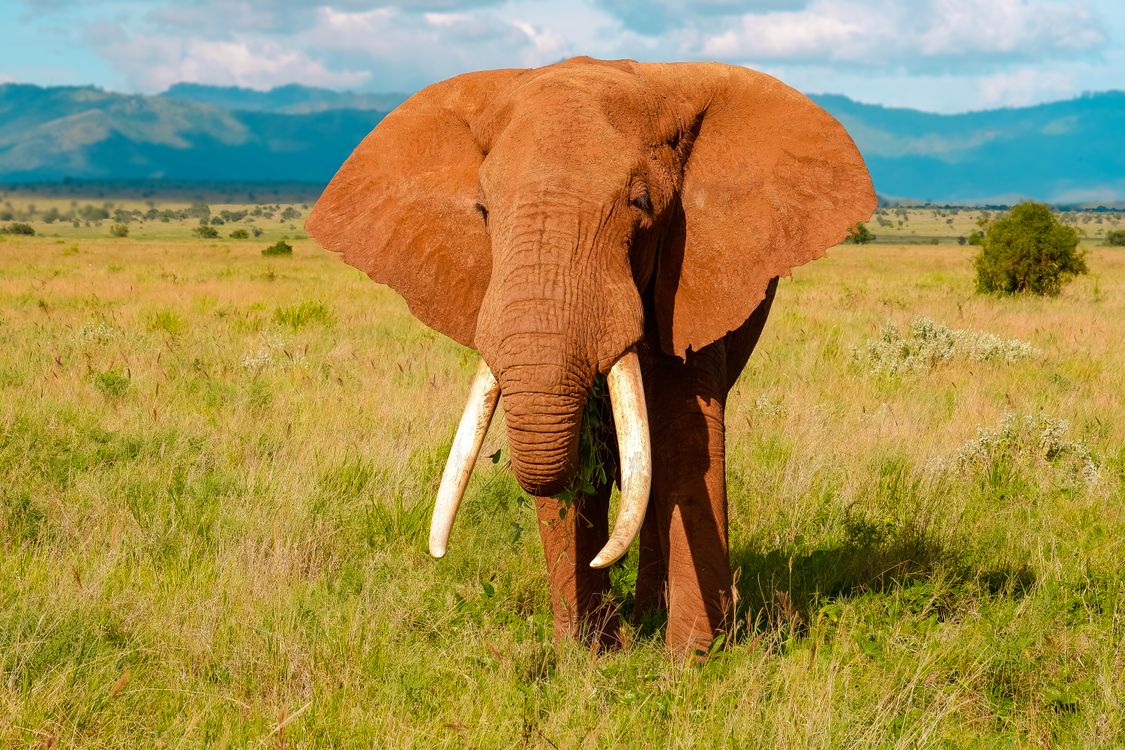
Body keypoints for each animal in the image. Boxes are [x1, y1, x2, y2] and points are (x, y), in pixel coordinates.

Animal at [307, 56, 875, 654]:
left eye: (642, 204)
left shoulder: (689, 271)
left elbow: (682, 434)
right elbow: (585, 453)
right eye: (482, 211)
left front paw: (693, 662)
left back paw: (653, 613)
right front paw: (586, 656)